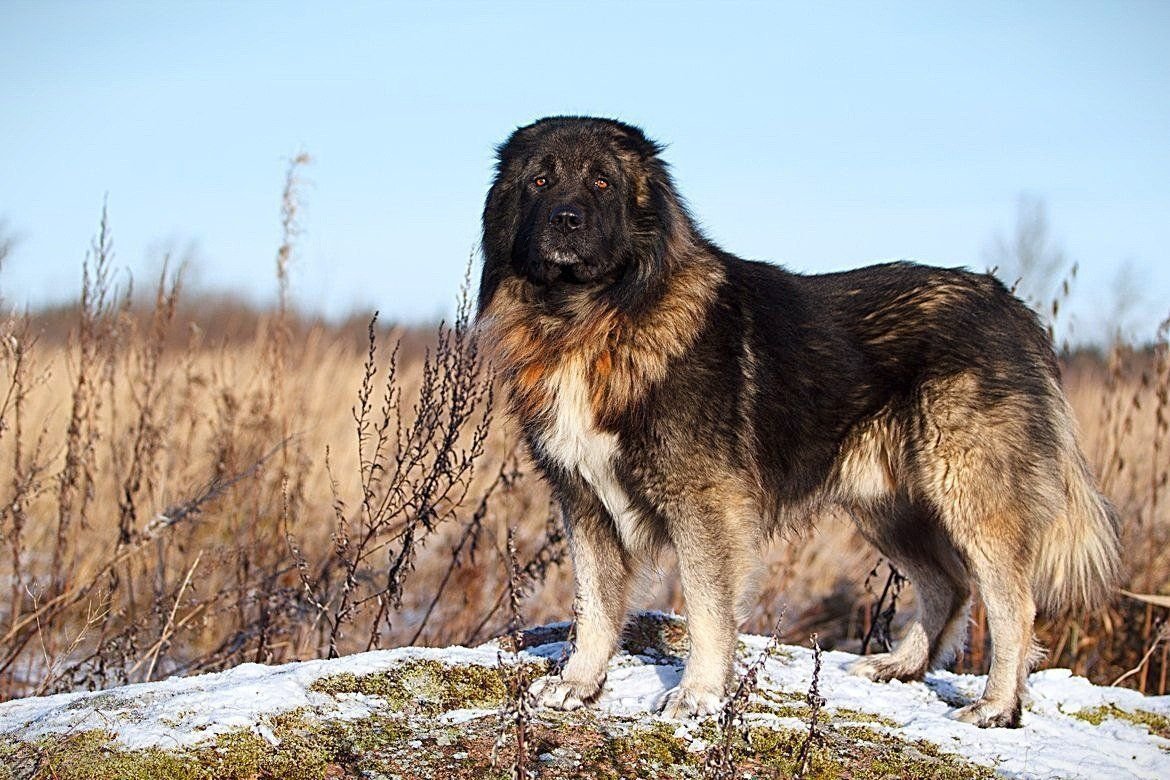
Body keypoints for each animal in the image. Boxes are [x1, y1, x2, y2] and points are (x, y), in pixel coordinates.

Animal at [472, 117, 1113, 734]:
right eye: (539, 181)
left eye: (602, 182)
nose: (566, 219)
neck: (591, 318)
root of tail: (1012, 305)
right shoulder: (585, 501)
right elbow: (595, 606)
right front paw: (577, 684)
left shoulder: (705, 505)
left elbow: (706, 606)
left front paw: (698, 694)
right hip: (888, 506)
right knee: (949, 585)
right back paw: (901, 666)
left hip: (969, 492)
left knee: (1010, 601)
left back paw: (996, 707)